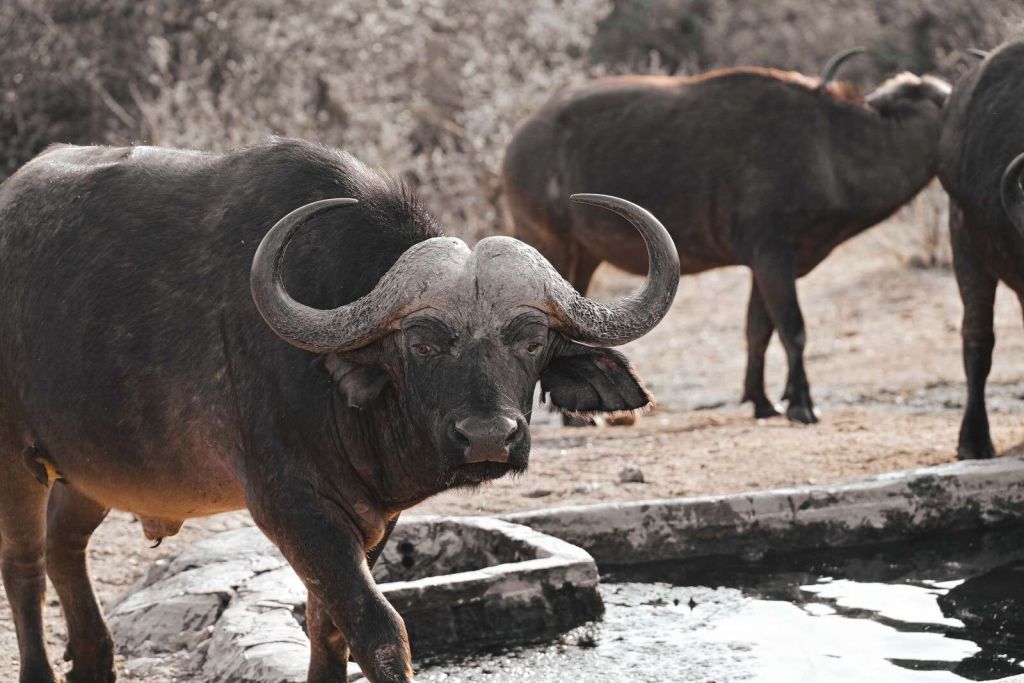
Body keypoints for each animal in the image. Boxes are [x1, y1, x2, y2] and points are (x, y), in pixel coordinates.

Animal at [0, 139, 678, 683]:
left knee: (64, 544)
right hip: (16, 462)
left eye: (532, 340)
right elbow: (377, 627)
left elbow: (326, 623)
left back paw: (93, 659)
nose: (488, 437)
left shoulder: (373, 517)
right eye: (422, 342)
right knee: (24, 567)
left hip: (92, 471)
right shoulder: (290, 505)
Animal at [504, 48, 950, 424]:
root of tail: (519, 142)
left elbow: (758, 331)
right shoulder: (774, 256)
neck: (830, 144)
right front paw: (802, 405)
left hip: (583, 256)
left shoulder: (764, 265)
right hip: (550, 244)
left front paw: (763, 401)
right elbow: (793, 330)